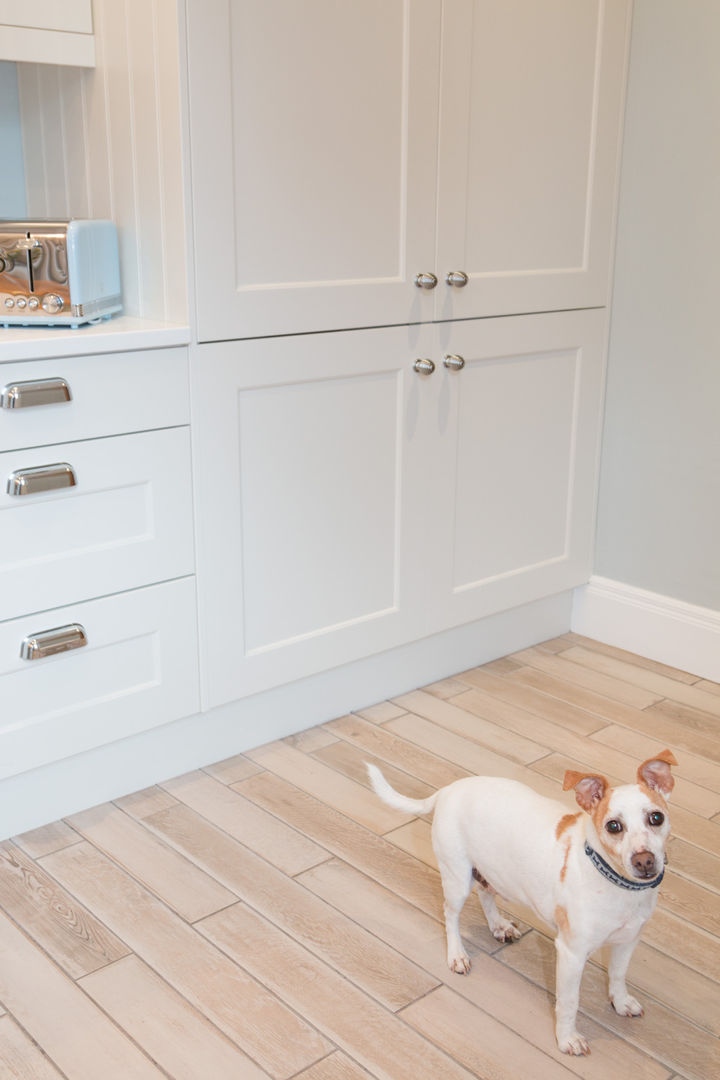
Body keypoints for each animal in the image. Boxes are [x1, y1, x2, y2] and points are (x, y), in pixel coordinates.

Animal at [369, 751, 677, 1054]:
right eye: (613, 826)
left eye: (656, 817)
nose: (644, 860)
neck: (620, 887)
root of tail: (447, 791)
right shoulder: (571, 953)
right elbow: (569, 1002)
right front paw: (568, 1039)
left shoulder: (628, 940)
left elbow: (617, 974)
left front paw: (621, 1002)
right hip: (457, 879)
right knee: (450, 915)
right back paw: (457, 955)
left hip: (491, 872)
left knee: (485, 894)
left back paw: (499, 926)